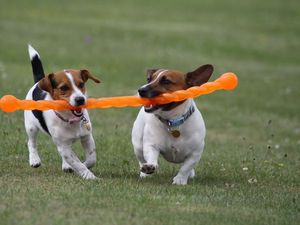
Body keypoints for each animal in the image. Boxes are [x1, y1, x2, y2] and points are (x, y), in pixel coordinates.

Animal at [24, 45, 100, 179]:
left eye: (81, 84)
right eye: (64, 88)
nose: (80, 99)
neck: (70, 119)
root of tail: (38, 83)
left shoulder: (87, 137)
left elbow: (91, 159)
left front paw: (82, 165)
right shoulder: (63, 147)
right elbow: (77, 163)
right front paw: (88, 176)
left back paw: (66, 165)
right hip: (31, 127)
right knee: (31, 142)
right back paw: (34, 160)